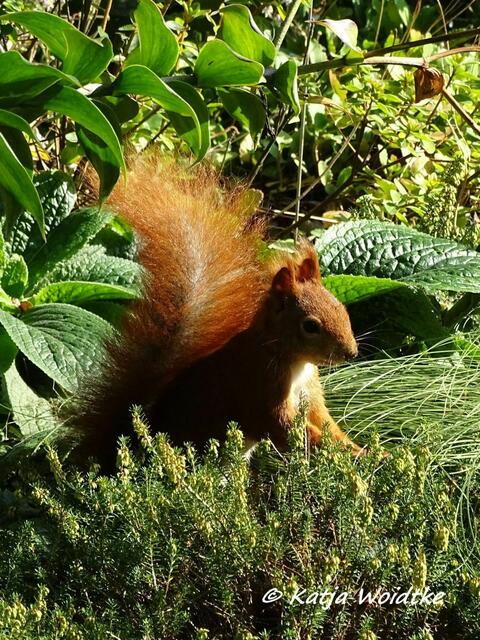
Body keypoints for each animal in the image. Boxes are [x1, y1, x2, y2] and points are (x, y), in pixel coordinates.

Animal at [72, 157, 362, 469]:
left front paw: (358, 449)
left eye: (340, 307)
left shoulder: (310, 393)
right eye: (310, 326)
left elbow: (325, 422)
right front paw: (349, 456)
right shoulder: (260, 387)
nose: (351, 353)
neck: (294, 361)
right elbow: (289, 429)